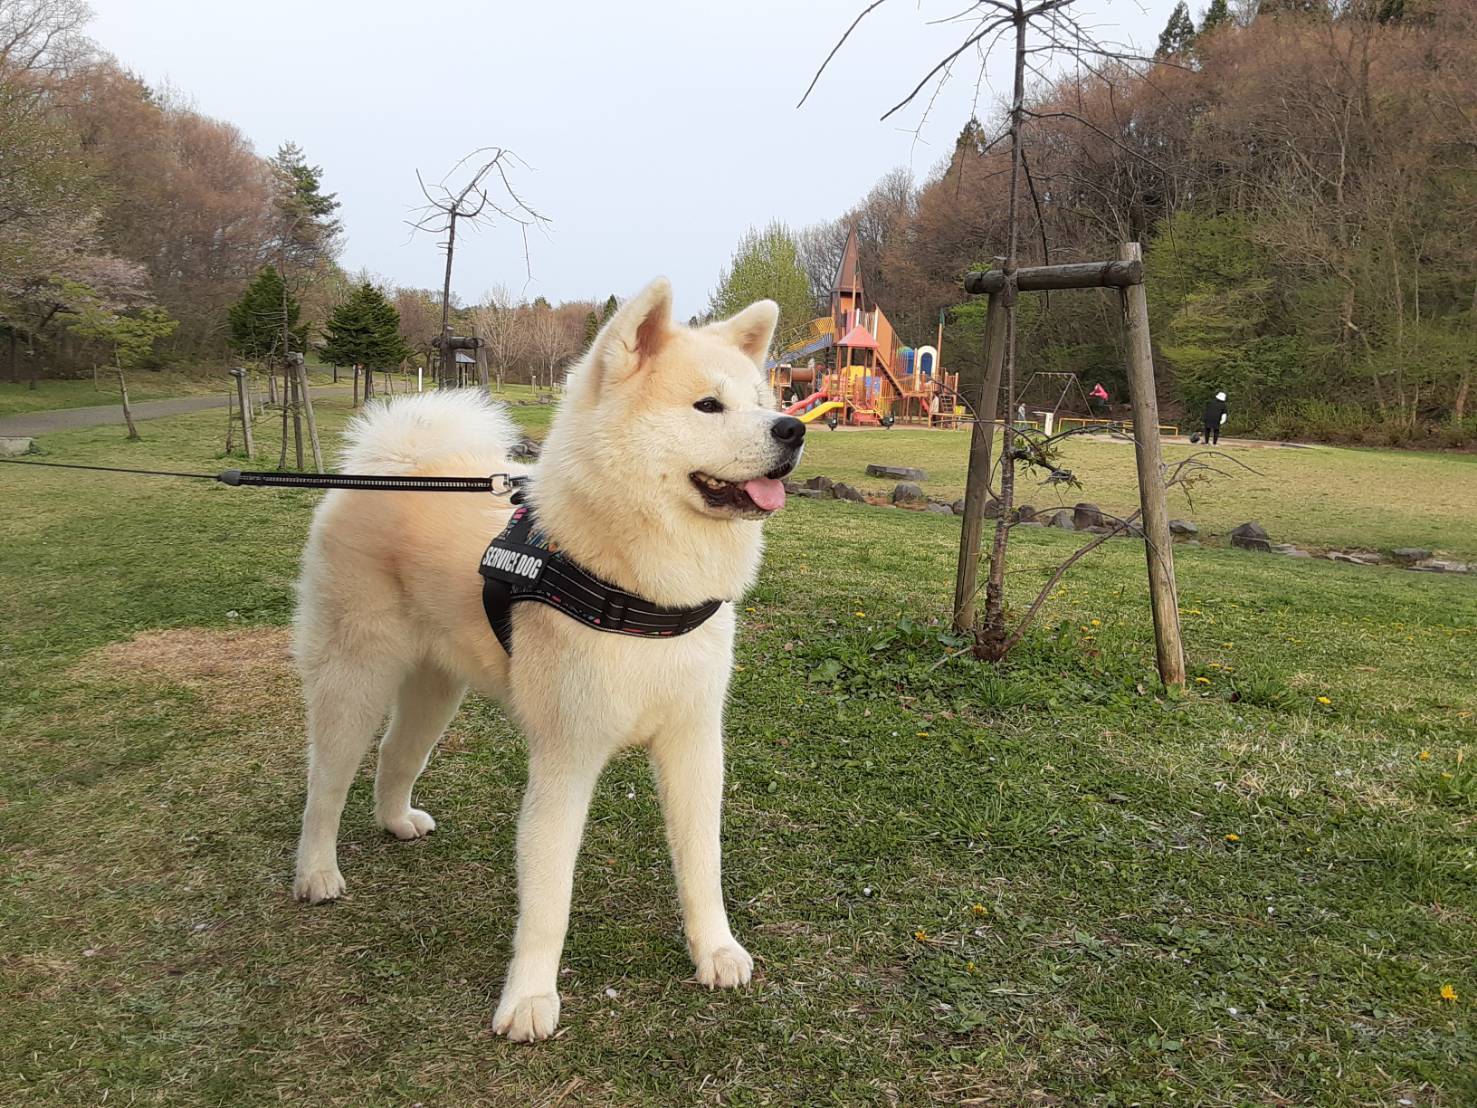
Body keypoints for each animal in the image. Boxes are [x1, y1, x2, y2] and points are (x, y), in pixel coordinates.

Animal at [292, 279, 803, 1040]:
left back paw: (396, 821)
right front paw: (530, 998)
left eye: (764, 400)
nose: (793, 429)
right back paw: (317, 873)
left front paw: (714, 950)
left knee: (395, 754)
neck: (645, 584)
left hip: (436, 688)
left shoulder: (693, 744)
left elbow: (701, 863)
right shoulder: (566, 758)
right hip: (354, 679)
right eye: (708, 406)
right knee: (325, 784)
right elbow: (548, 896)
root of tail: (390, 465)